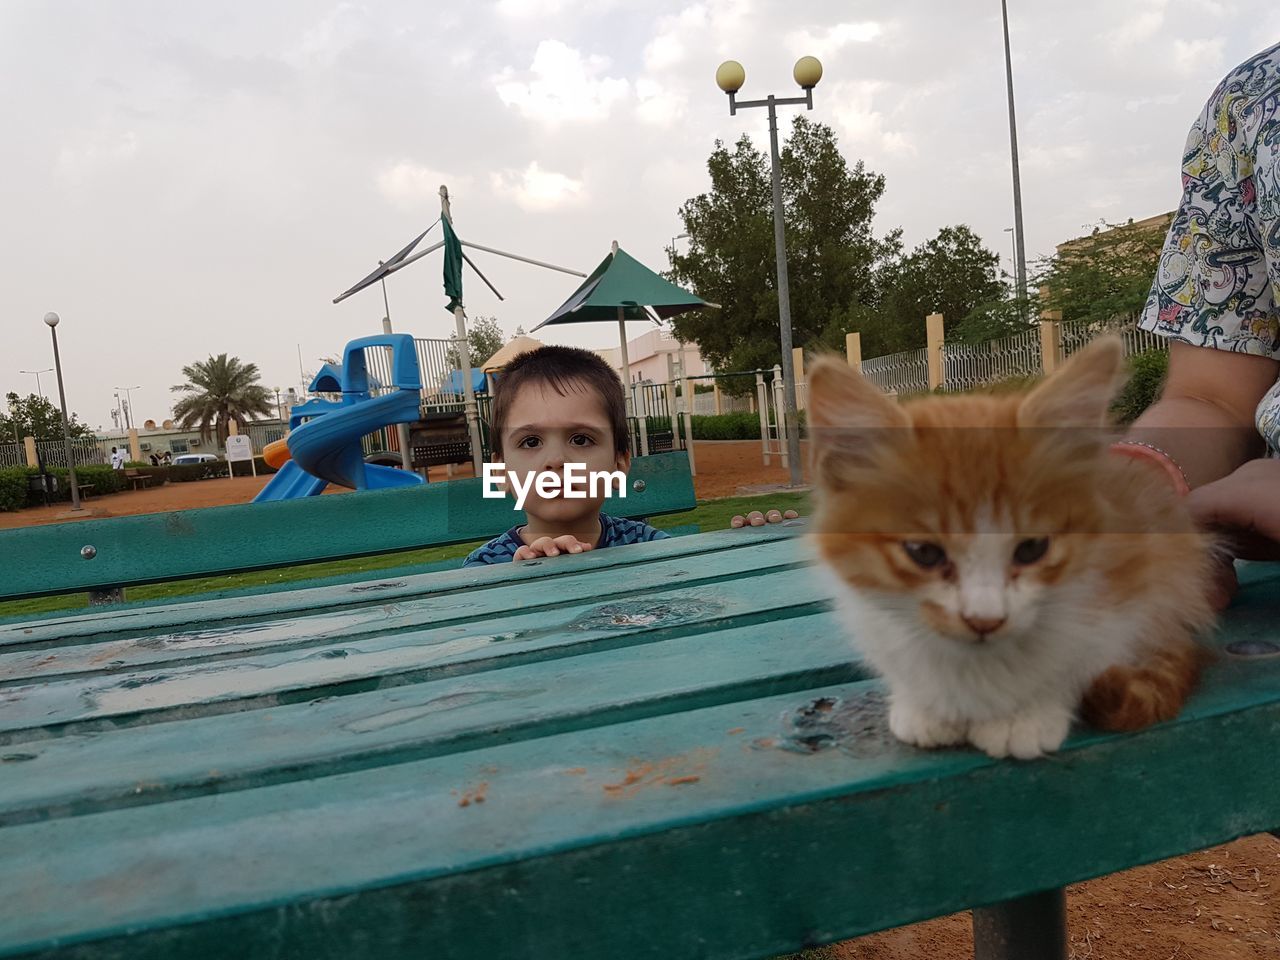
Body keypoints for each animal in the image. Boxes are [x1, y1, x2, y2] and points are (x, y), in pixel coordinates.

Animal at [803, 337, 1213, 757]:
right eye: (924, 553)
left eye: (1032, 548)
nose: (984, 620)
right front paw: (924, 707)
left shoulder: (1134, 577)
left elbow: (1080, 657)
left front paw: (1028, 714)